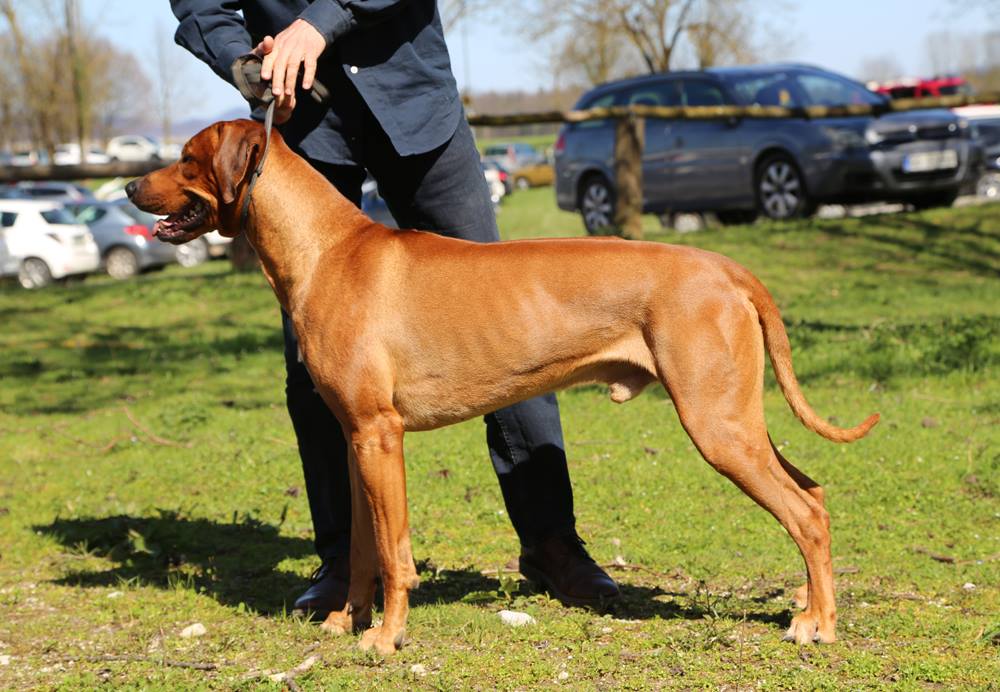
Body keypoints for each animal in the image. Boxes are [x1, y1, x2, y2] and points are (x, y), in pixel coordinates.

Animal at [127, 119, 876, 656]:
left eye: (186, 159)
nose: (131, 189)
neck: (325, 249)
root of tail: (725, 267)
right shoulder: (355, 438)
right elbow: (366, 546)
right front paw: (345, 620)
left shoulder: (381, 435)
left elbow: (394, 553)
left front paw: (387, 636)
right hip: (736, 420)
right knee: (812, 493)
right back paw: (808, 605)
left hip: (716, 422)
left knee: (804, 513)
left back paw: (820, 624)